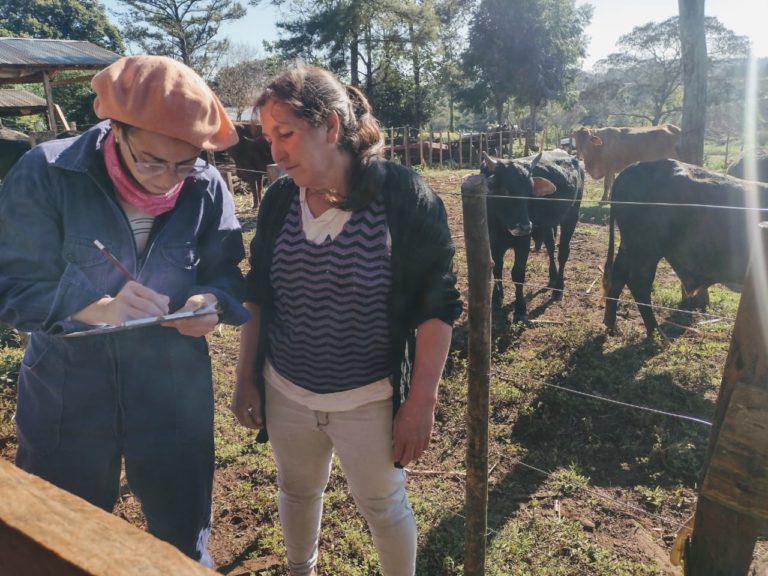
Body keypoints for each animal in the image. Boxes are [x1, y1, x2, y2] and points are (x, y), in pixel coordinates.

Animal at [480, 148, 584, 322]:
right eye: (505, 191)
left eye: (530, 192)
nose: (525, 226)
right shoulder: (493, 243)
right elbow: (497, 269)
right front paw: (496, 297)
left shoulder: (523, 243)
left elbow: (518, 274)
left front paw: (520, 308)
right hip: (547, 225)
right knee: (550, 246)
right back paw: (552, 276)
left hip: (572, 215)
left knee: (563, 252)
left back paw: (558, 288)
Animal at [604, 158, 768, 338]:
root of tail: (636, 166)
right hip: (646, 249)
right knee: (639, 283)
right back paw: (655, 331)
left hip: (630, 246)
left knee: (618, 276)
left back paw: (611, 324)